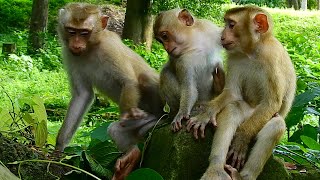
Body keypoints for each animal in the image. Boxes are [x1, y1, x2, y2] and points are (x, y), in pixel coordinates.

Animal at [56, 3, 164, 180]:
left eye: (84, 32)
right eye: (71, 31)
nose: (76, 44)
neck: (91, 48)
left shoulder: (110, 48)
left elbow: (129, 81)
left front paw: (128, 112)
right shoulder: (70, 54)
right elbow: (81, 95)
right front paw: (59, 147)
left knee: (145, 78)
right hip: (142, 126)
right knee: (116, 130)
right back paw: (131, 155)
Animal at [186, 5, 296, 180]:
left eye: (231, 25)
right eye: (226, 23)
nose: (221, 36)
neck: (252, 52)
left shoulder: (272, 59)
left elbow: (271, 102)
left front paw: (242, 138)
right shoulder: (234, 57)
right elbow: (232, 94)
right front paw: (206, 113)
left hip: (260, 118)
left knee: (276, 125)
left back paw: (243, 175)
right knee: (233, 109)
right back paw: (216, 169)